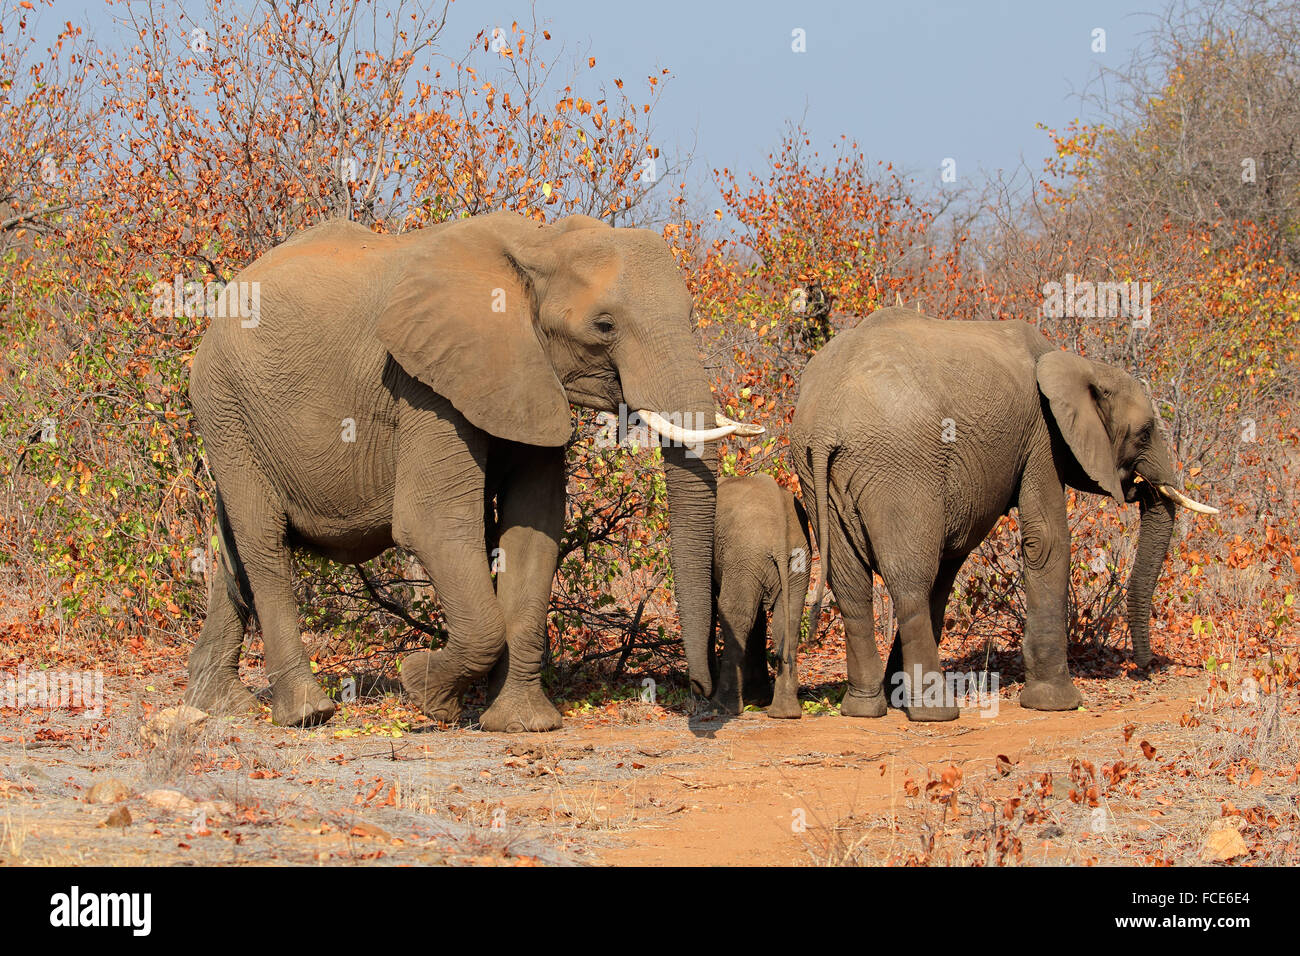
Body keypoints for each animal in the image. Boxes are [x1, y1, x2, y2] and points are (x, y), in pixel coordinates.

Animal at [712, 473, 811, 717]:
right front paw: (757, 699)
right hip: (796, 561)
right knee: (788, 619)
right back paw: (785, 713)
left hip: (744, 555)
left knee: (735, 615)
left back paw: (722, 708)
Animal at [790, 310, 1216, 723]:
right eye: (1144, 433)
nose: (1144, 668)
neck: (1078, 364)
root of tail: (825, 426)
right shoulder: (1043, 435)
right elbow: (1046, 540)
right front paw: (1056, 705)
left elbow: (949, 562)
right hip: (899, 466)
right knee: (910, 582)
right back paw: (937, 714)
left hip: (818, 475)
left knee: (853, 588)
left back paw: (865, 709)